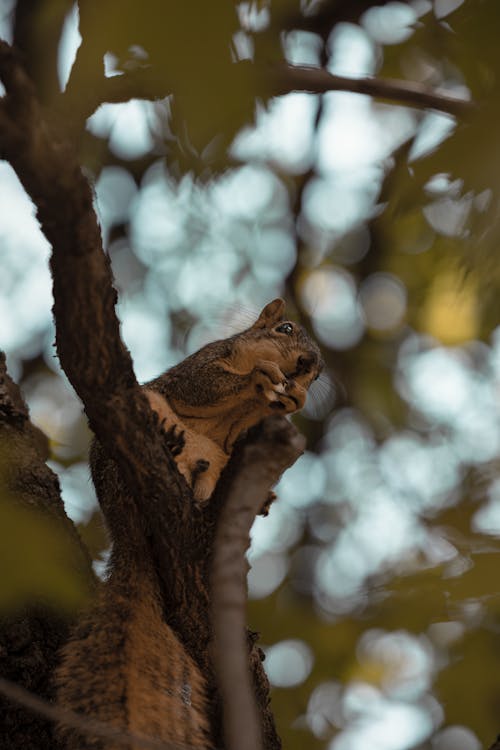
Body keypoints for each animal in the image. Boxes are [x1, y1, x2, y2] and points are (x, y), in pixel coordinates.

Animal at [52, 302, 322, 750]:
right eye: (285, 329)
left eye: (317, 376)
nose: (307, 365)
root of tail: (124, 531)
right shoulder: (202, 364)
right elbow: (203, 386)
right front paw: (258, 375)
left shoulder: (237, 436)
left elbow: (241, 433)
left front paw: (293, 398)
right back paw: (170, 440)